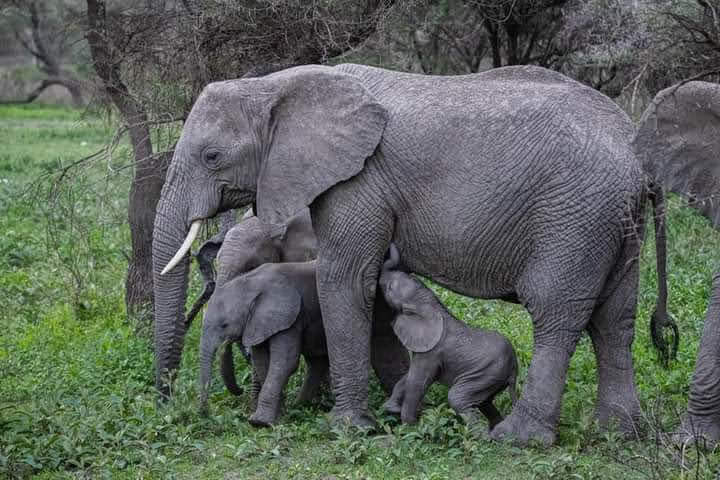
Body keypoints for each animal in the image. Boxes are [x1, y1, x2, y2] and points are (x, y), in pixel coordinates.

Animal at [200, 260, 330, 426]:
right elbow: (261, 361)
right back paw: (299, 407)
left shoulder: (290, 318)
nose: (205, 414)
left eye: (224, 325)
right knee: (317, 362)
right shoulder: (258, 322)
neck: (251, 283)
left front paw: (259, 422)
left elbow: (285, 362)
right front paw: (278, 417)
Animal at [380, 246, 516, 430]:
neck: (428, 304)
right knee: (484, 403)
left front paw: (411, 428)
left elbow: (416, 382)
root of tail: (515, 366)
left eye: (390, 288)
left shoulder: (432, 351)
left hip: (487, 373)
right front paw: (391, 409)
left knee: (457, 398)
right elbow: (408, 377)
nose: (390, 247)